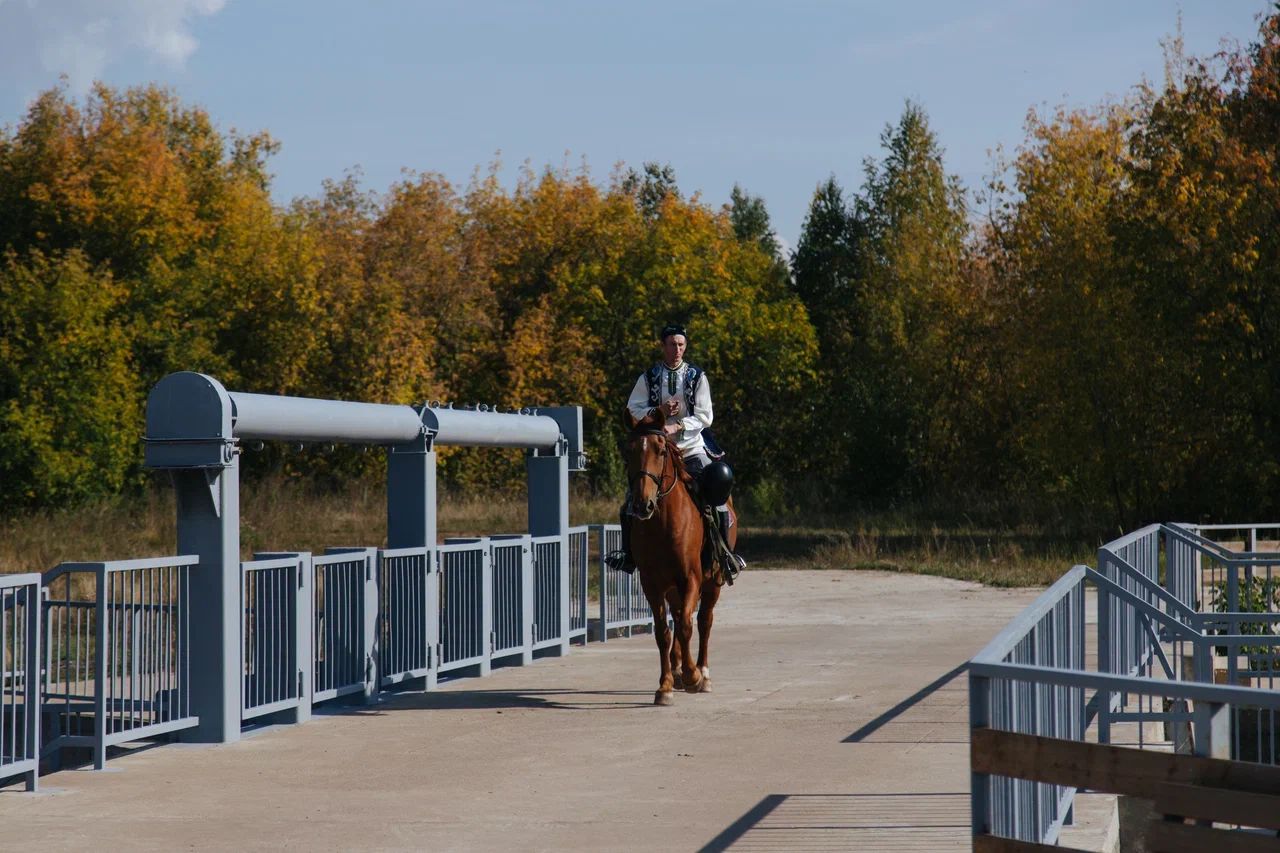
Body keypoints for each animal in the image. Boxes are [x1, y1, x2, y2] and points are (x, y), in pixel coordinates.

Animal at [622, 409, 737, 701]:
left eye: (661, 450)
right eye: (628, 451)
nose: (643, 504)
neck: (663, 523)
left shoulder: (691, 578)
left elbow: (687, 625)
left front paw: (693, 675)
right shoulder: (652, 584)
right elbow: (663, 632)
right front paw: (664, 685)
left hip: (713, 581)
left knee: (704, 621)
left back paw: (703, 674)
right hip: (672, 587)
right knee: (676, 618)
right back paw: (676, 672)